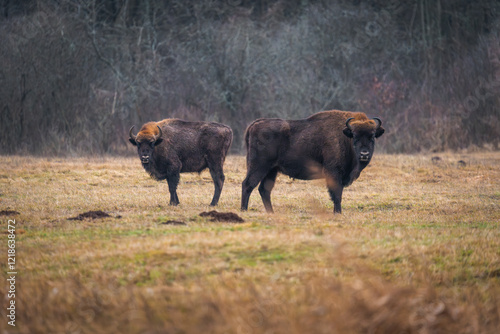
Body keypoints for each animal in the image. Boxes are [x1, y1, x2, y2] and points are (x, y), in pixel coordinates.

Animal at [240, 110, 384, 214]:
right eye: (354, 136)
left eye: (372, 136)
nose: (364, 154)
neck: (344, 137)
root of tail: (254, 124)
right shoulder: (333, 172)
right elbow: (336, 194)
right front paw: (338, 212)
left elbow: (338, 193)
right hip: (259, 166)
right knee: (248, 184)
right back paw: (244, 210)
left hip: (272, 170)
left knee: (264, 189)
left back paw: (271, 212)